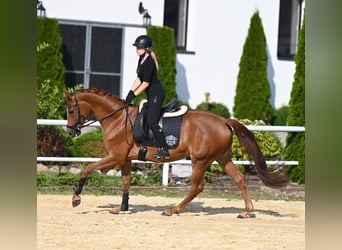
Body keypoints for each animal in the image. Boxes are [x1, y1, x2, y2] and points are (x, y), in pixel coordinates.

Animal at [63, 89, 288, 218]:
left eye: (71, 110)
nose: (71, 132)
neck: (118, 118)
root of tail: (224, 120)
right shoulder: (125, 159)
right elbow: (125, 183)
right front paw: (122, 208)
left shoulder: (115, 157)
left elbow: (87, 169)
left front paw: (76, 198)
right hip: (222, 157)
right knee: (240, 178)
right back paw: (246, 211)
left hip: (200, 160)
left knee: (197, 187)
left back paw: (173, 210)